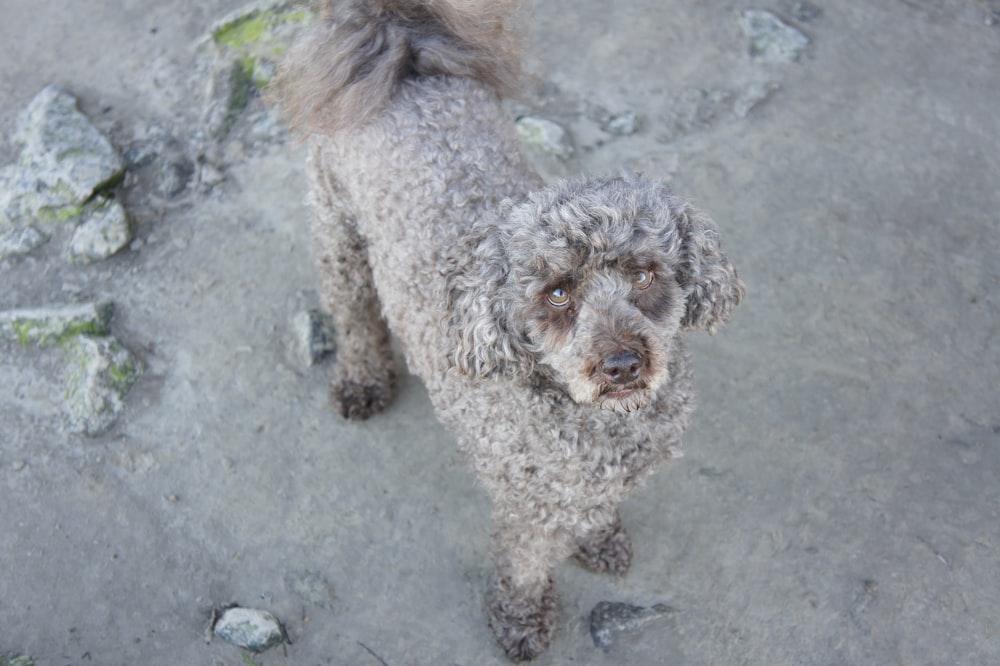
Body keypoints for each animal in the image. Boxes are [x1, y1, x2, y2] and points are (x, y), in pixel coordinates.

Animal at [274, 0, 744, 652]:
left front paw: (597, 539)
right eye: (557, 293)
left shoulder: (597, 481)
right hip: (338, 231)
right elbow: (524, 563)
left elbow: (594, 510)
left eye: (644, 274)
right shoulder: (529, 503)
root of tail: (397, 44)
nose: (622, 364)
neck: (600, 421)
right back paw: (363, 379)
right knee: (355, 315)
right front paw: (521, 620)